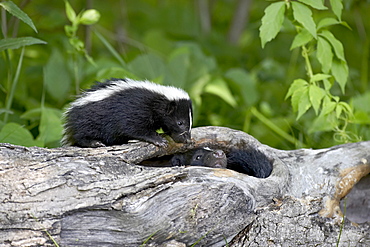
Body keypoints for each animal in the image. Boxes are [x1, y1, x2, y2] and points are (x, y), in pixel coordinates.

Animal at [61, 78, 192, 148]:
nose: (188, 139)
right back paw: (95, 142)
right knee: (82, 135)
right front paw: (158, 140)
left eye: (190, 122)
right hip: (89, 119)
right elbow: (134, 128)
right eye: (180, 123)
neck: (157, 99)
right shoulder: (135, 110)